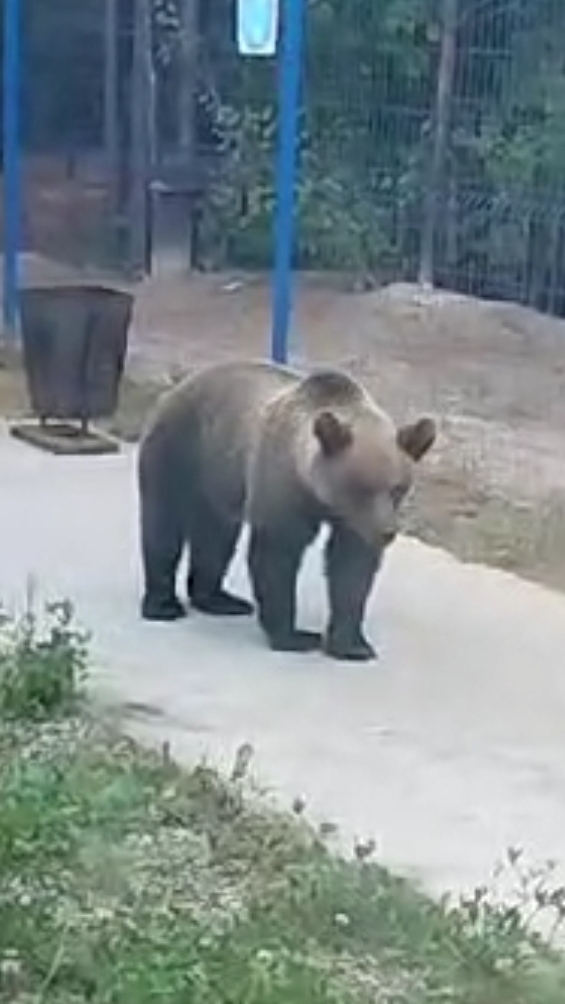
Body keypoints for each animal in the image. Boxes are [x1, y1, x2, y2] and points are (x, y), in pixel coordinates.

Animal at [137, 359, 436, 661]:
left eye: (398, 488)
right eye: (360, 487)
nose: (386, 531)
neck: (317, 492)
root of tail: (181, 385)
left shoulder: (352, 521)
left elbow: (352, 566)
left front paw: (352, 644)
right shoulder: (283, 487)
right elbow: (277, 555)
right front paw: (295, 636)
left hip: (220, 476)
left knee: (216, 537)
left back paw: (219, 600)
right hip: (180, 447)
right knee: (163, 524)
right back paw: (163, 605)